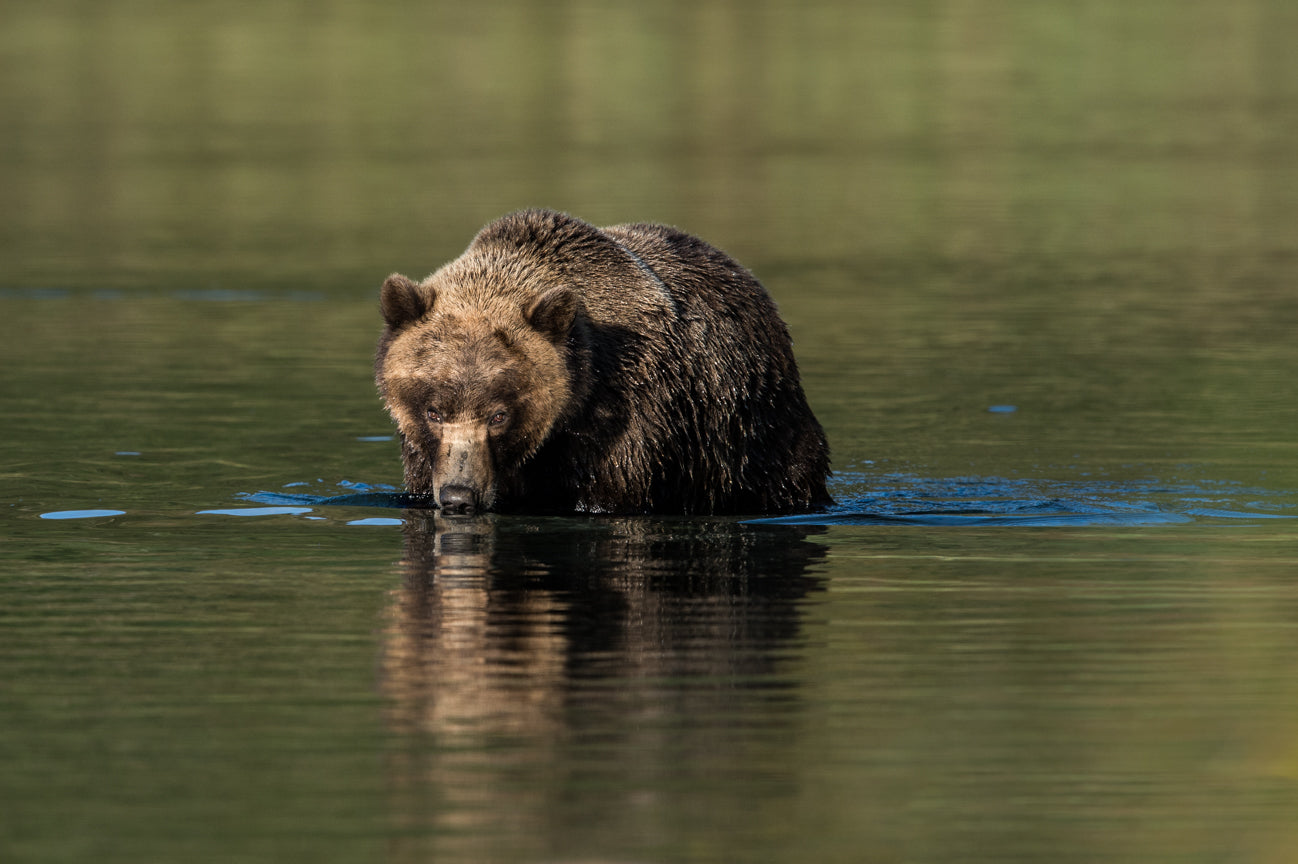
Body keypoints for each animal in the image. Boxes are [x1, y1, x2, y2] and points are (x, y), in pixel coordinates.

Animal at [373, 208, 830, 513]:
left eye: (499, 415)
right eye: (433, 411)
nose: (458, 495)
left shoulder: (630, 420)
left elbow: (613, 494)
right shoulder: (424, 456)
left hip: (750, 428)